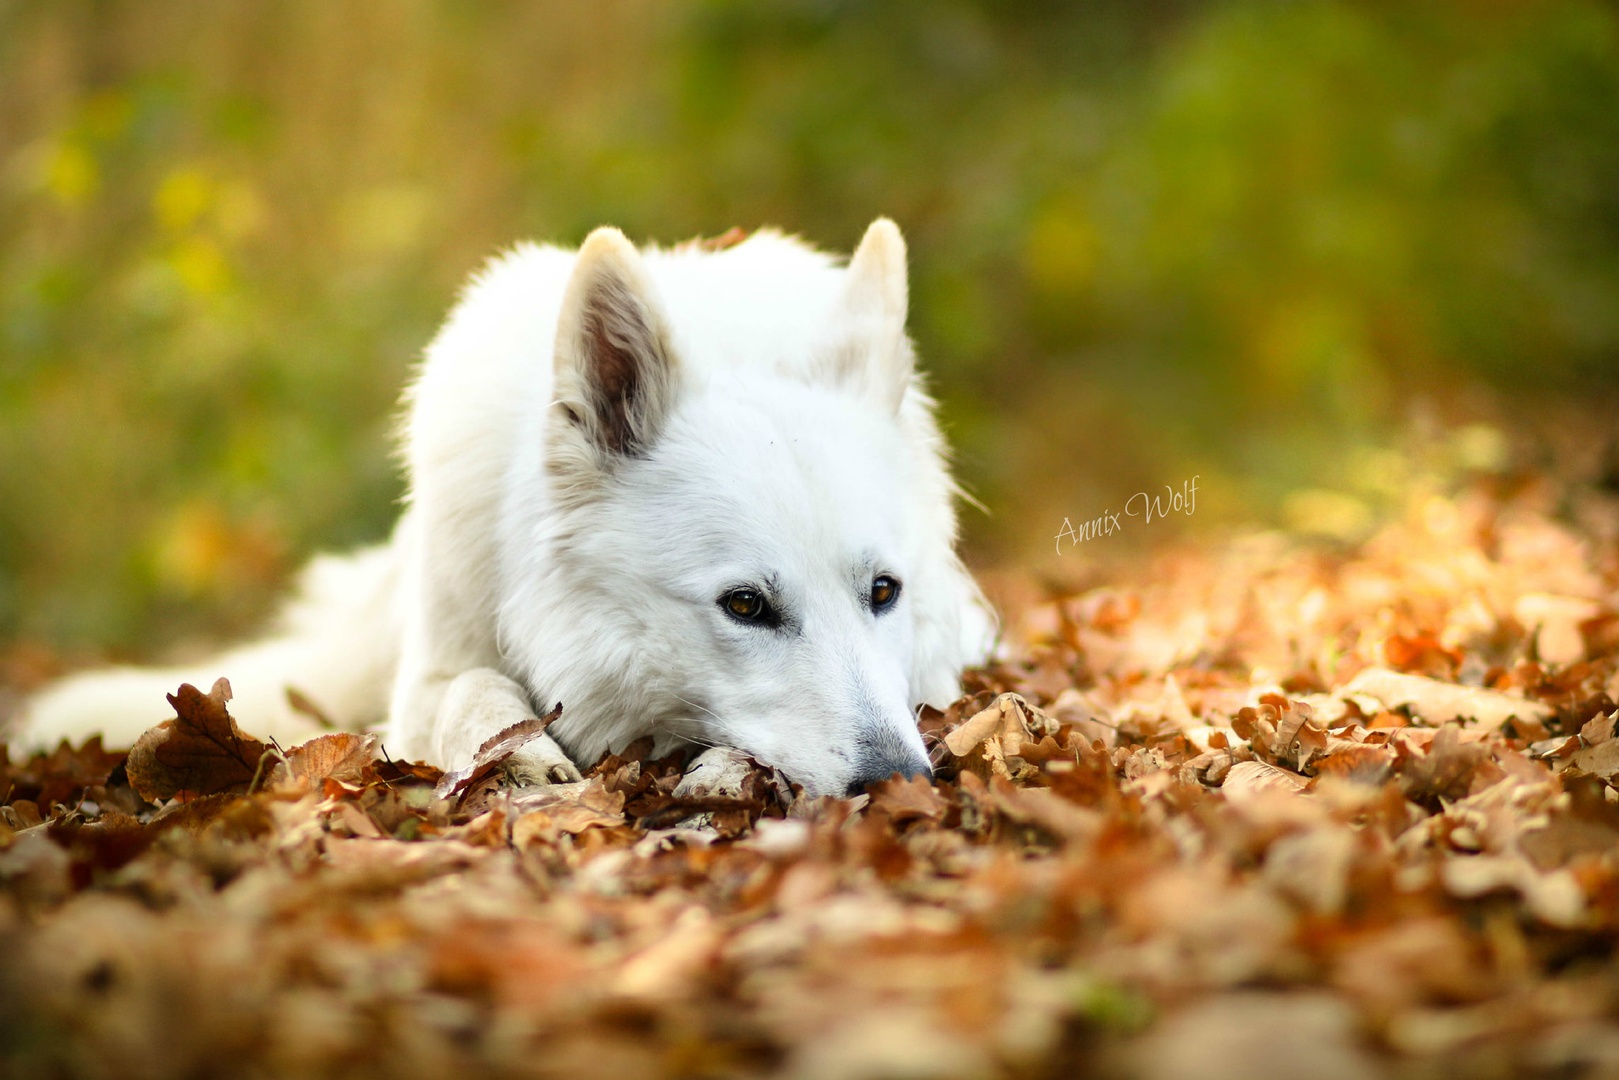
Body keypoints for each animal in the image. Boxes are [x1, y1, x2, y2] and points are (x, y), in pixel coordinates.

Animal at [12, 220, 994, 798]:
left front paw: (719, 769)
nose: (905, 781)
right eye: (745, 606)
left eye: (882, 593)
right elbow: (475, 695)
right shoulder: (431, 676)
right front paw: (519, 758)